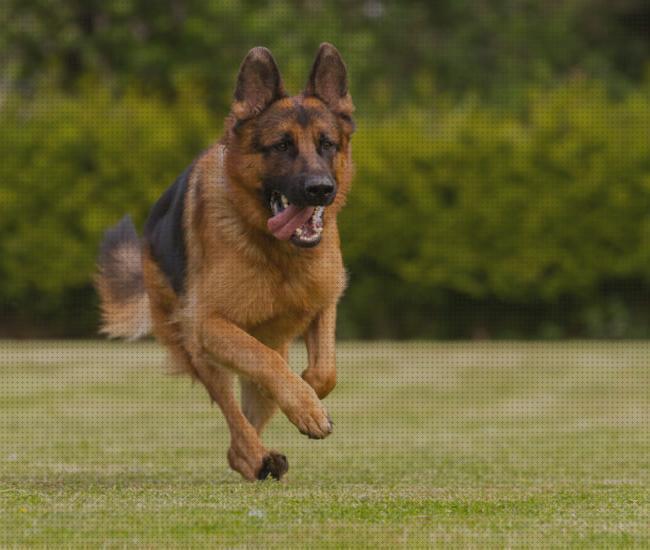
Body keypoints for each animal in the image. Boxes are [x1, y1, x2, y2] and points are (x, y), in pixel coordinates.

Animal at [95, 44, 354, 484]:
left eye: (327, 144)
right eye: (281, 146)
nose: (320, 188)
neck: (277, 254)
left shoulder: (324, 303)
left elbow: (324, 372)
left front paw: (309, 395)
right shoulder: (210, 325)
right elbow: (264, 363)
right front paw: (306, 408)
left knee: (251, 411)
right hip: (199, 349)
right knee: (235, 415)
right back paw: (256, 456)